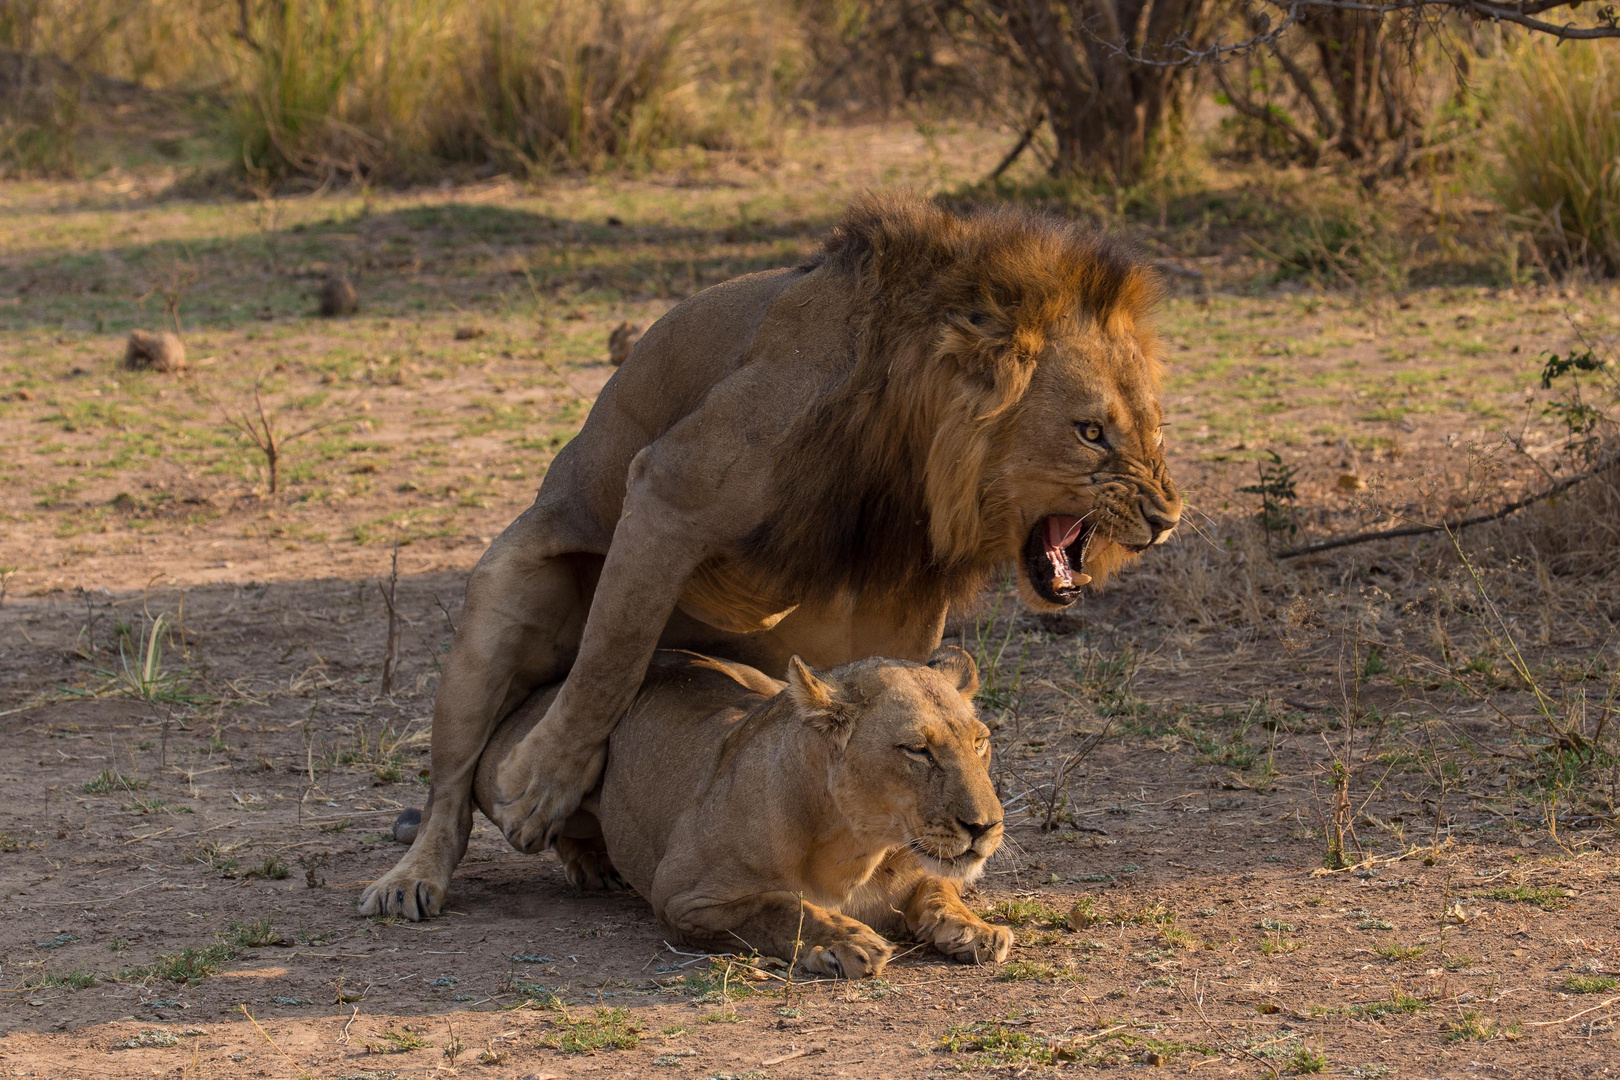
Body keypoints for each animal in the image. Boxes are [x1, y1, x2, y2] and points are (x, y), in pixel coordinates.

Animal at [361, 194, 1185, 919]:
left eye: (1154, 430)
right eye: (1090, 432)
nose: (1166, 518)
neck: (907, 445)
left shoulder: (902, 594)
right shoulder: (668, 489)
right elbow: (610, 660)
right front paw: (540, 785)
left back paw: (595, 857)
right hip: (498, 611)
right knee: (452, 789)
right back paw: (415, 879)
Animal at [466, 647, 1010, 977]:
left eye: (980, 742)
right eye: (917, 750)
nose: (986, 827)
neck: (857, 848)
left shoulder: (921, 870)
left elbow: (940, 890)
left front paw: (975, 930)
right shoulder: (680, 898)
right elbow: (779, 906)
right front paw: (847, 941)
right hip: (512, 771)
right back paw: (592, 865)